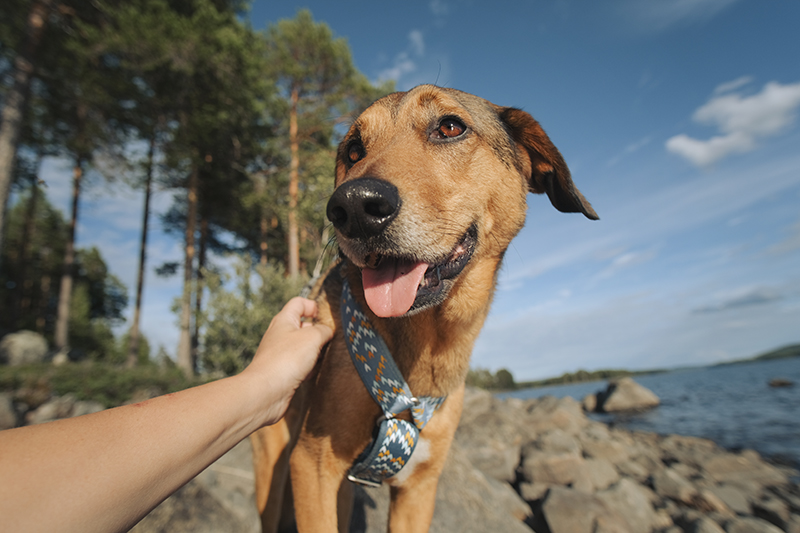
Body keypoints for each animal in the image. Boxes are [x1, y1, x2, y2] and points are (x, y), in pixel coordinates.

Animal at [248, 85, 592, 528]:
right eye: (354, 150)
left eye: (450, 127)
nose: (353, 207)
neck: (429, 342)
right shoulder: (312, 464)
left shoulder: (420, 486)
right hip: (273, 472)